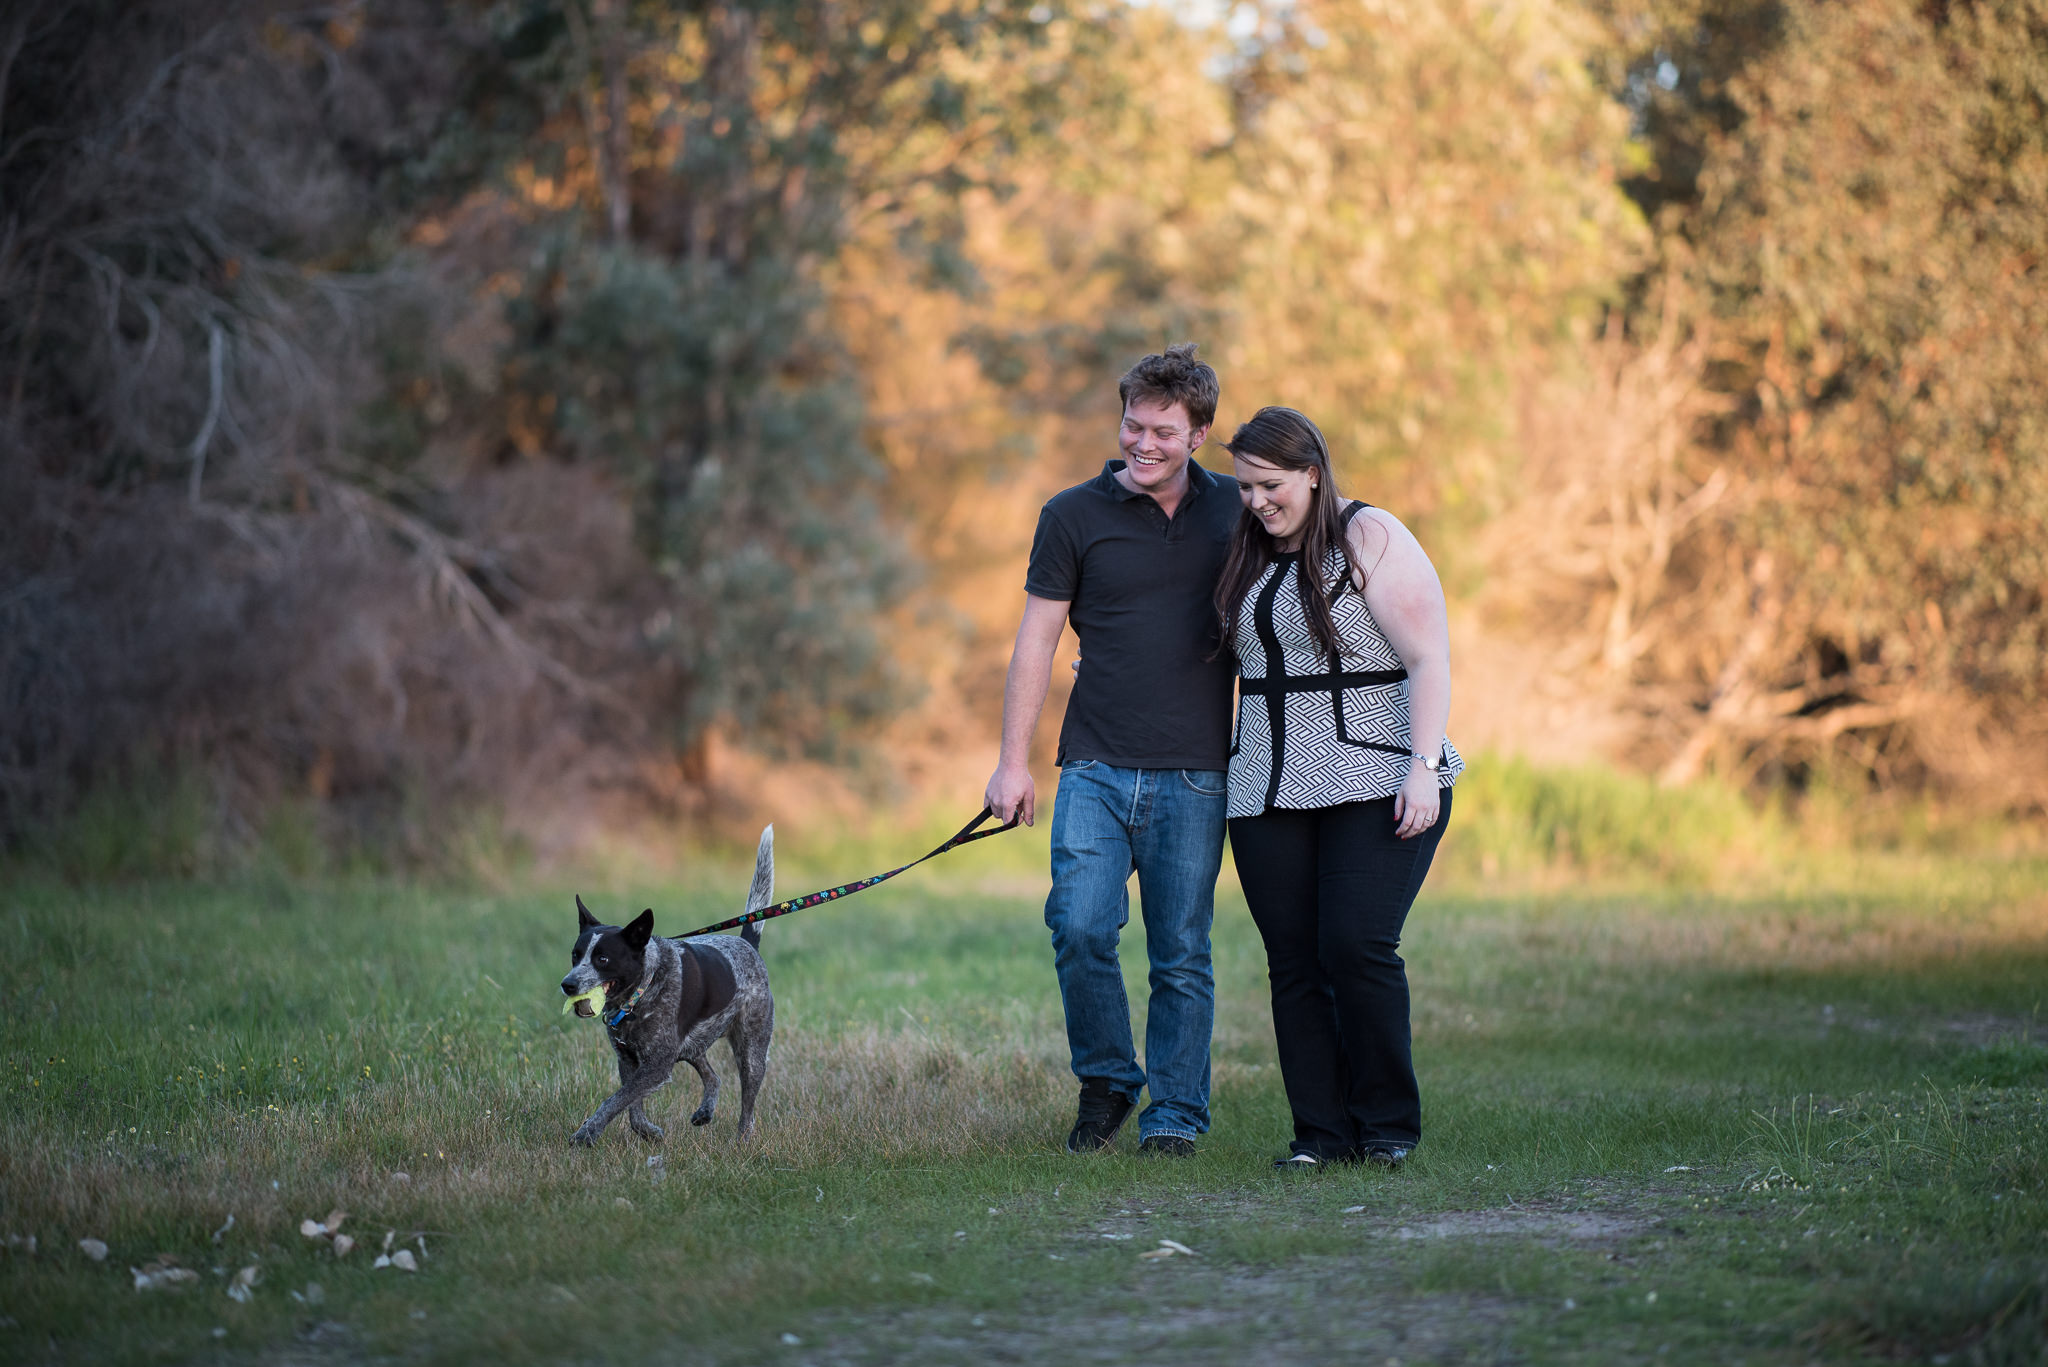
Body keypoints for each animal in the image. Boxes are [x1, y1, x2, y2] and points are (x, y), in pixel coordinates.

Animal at [561, 823, 774, 1147]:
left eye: (603, 959)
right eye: (575, 955)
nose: (568, 985)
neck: (642, 991)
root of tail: (748, 944)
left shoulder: (657, 1064)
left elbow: (614, 1101)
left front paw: (586, 1133)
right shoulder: (629, 1060)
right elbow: (631, 1106)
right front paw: (648, 1131)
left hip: (751, 1050)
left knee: (747, 1106)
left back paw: (741, 1140)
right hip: (690, 1045)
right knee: (713, 1076)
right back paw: (704, 1112)